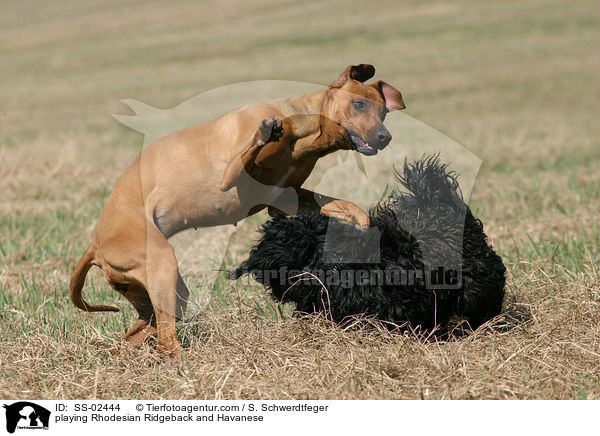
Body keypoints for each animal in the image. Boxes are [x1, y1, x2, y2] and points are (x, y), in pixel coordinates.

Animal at [71, 63, 408, 354]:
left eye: (383, 112)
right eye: (358, 105)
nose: (385, 137)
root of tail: (95, 244)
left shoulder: (286, 199)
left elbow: (350, 209)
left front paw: (364, 236)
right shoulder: (231, 176)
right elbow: (252, 149)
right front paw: (268, 132)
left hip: (158, 291)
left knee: (142, 331)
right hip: (162, 264)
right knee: (166, 340)